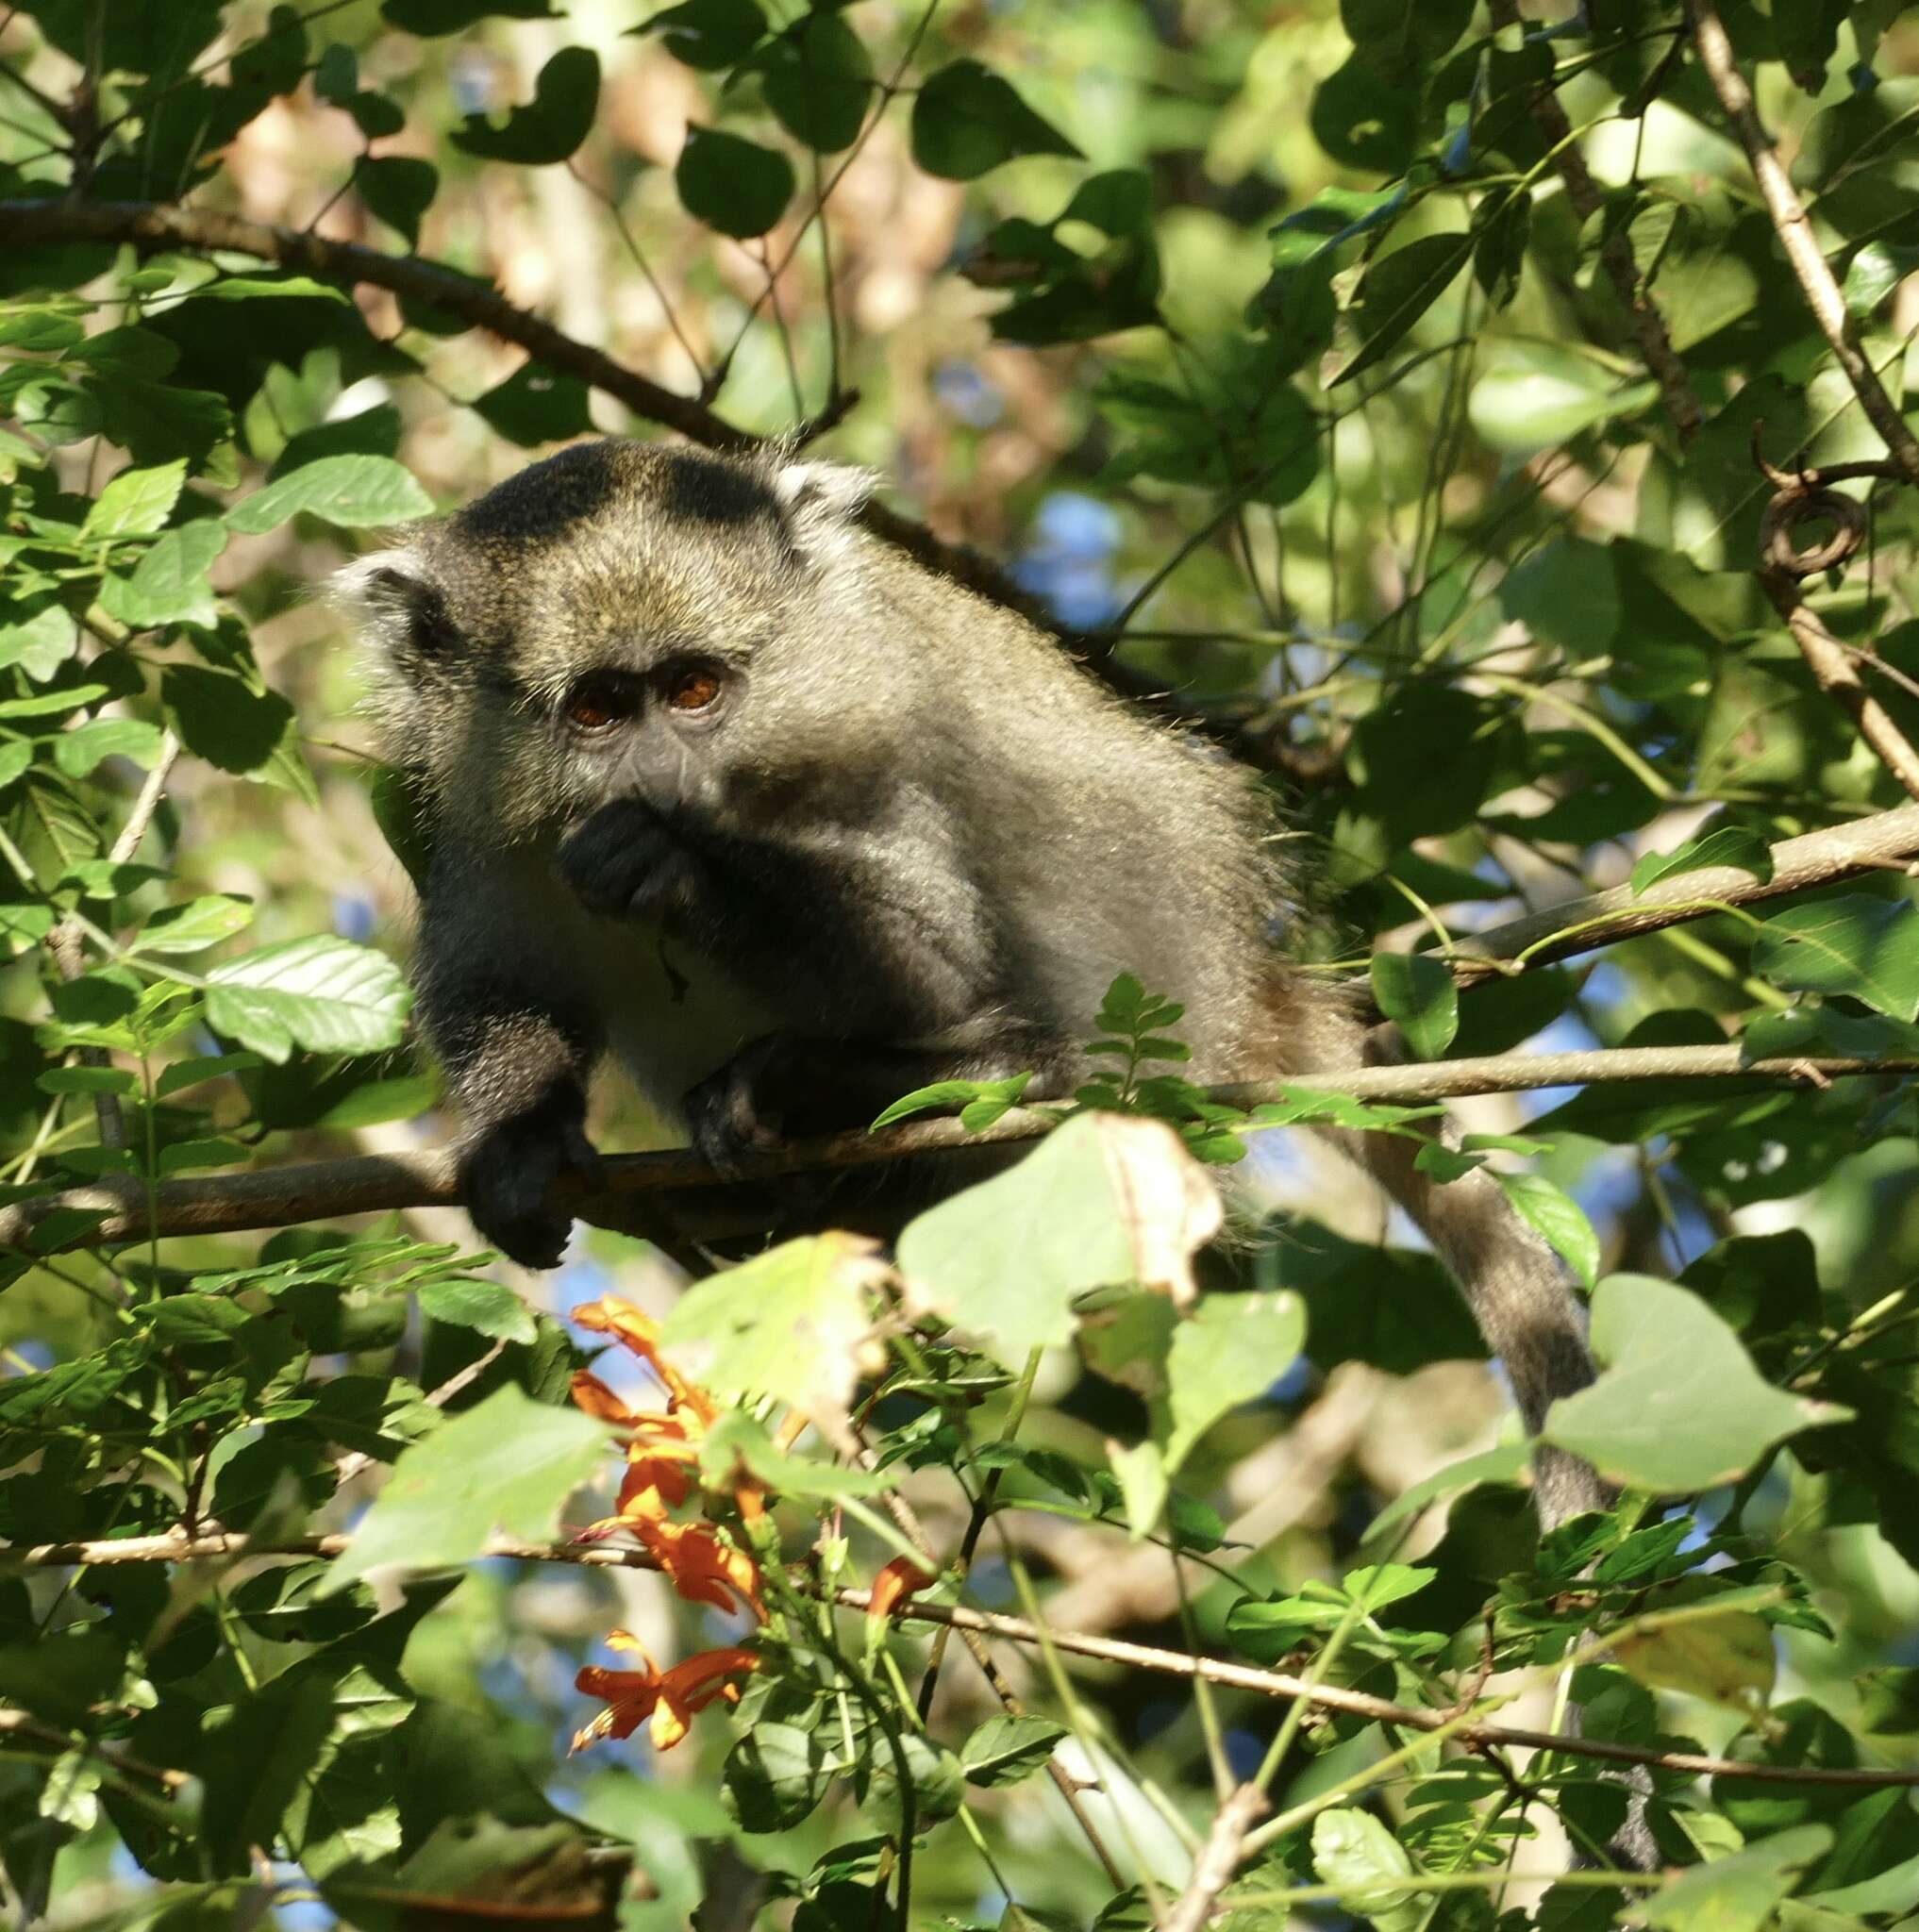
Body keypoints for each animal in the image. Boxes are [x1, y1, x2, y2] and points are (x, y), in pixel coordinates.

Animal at [340, 438, 1600, 1538]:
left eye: (695, 689)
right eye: (598, 708)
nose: (662, 783)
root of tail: (1247, 988)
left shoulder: (867, 739)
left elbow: (928, 955)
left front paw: (674, 866)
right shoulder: (470, 819)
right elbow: (498, 980)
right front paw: (522, 1137)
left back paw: (866, 1080)